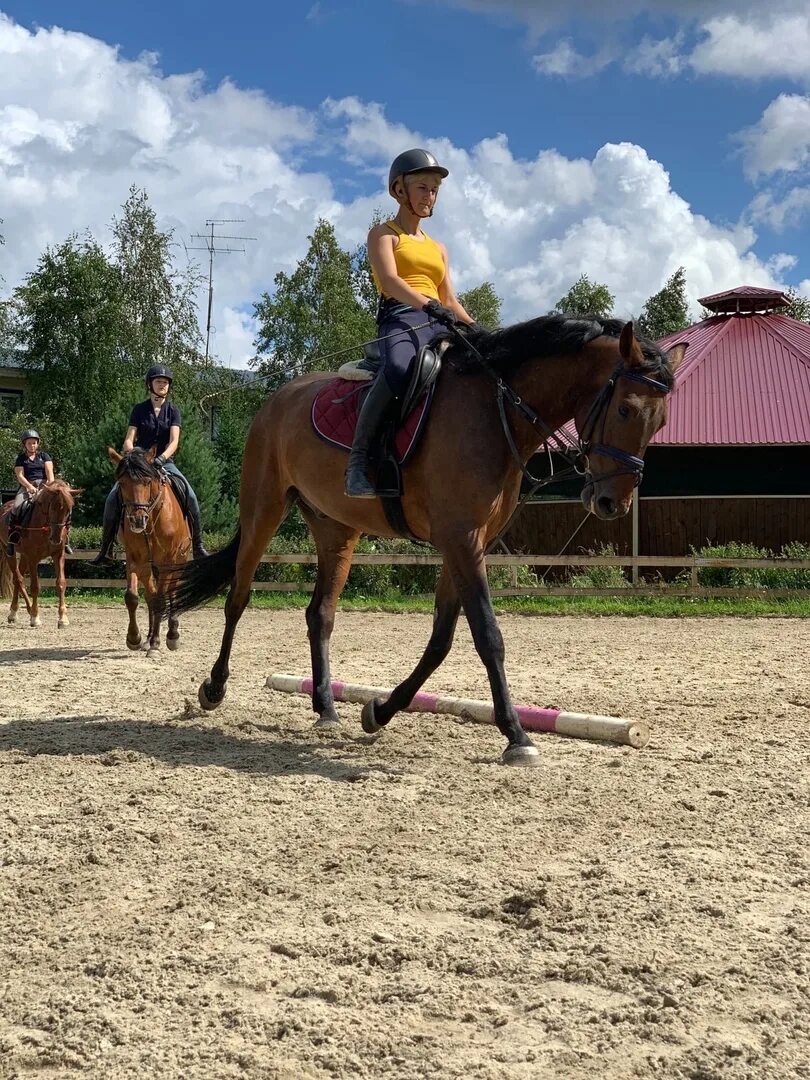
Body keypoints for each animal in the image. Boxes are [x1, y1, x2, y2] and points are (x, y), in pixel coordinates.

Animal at [0, 479, 81, 626]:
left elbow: (61, 583)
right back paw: (24, 611)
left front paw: (63, 618)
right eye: (53, 507)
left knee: (18, 579)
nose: (56, 538)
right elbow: (35, 587)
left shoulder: (58, 555)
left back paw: (15, 612)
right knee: (18, 579)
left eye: (68, 509)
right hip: (9, 552)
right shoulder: (33, 558)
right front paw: (35, 617)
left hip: (24, 556)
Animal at [108, 444, 192, 652]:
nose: (138, 520)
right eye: (122, 483)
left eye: (147, 481)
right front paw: (134, 638)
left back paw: (171, 635)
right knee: (151, 595)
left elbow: (163, 597)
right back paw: (148, 638)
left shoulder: (168, 561)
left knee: (171, 593)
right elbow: (132, 597)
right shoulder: (134, 559)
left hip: (179, 560)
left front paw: (156, 642)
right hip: (148, 568)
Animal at [162, 315, 686, 764]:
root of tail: (276, 398)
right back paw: (214, 688)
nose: (612, 502)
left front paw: (379, 711)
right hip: (264, 509)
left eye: (661, 422)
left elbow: (441, 640)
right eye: (625, 409)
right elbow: (488, 636)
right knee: (238, 597)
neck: (496, 413)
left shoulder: (469, 542)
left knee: (320, 615)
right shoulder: (460, 539)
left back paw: (326, 708)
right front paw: (517, 735)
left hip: (336, 530)